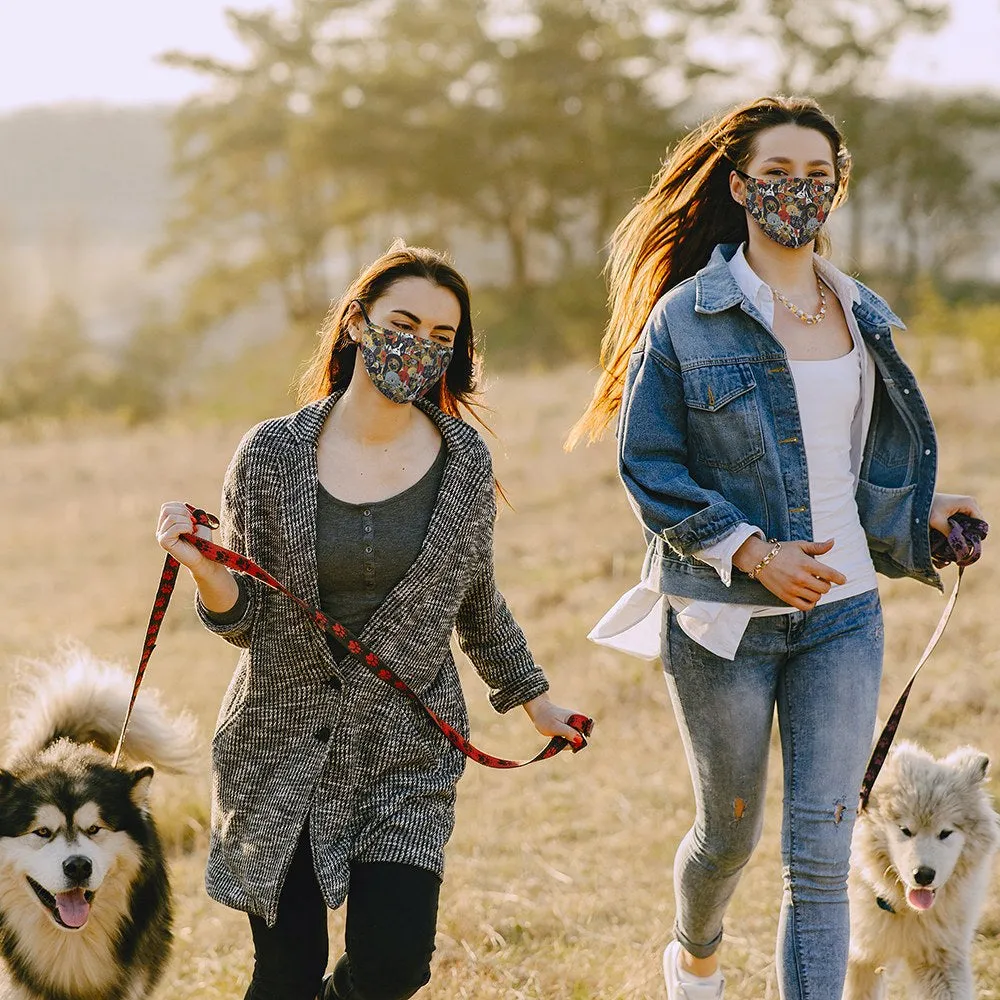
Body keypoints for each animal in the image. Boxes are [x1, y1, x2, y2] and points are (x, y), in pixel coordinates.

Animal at [844, 740, 1000, 996]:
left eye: (945, 833)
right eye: (905, 830)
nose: (924, 875)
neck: (903, 908)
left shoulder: (940, 958)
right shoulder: (858, 959)